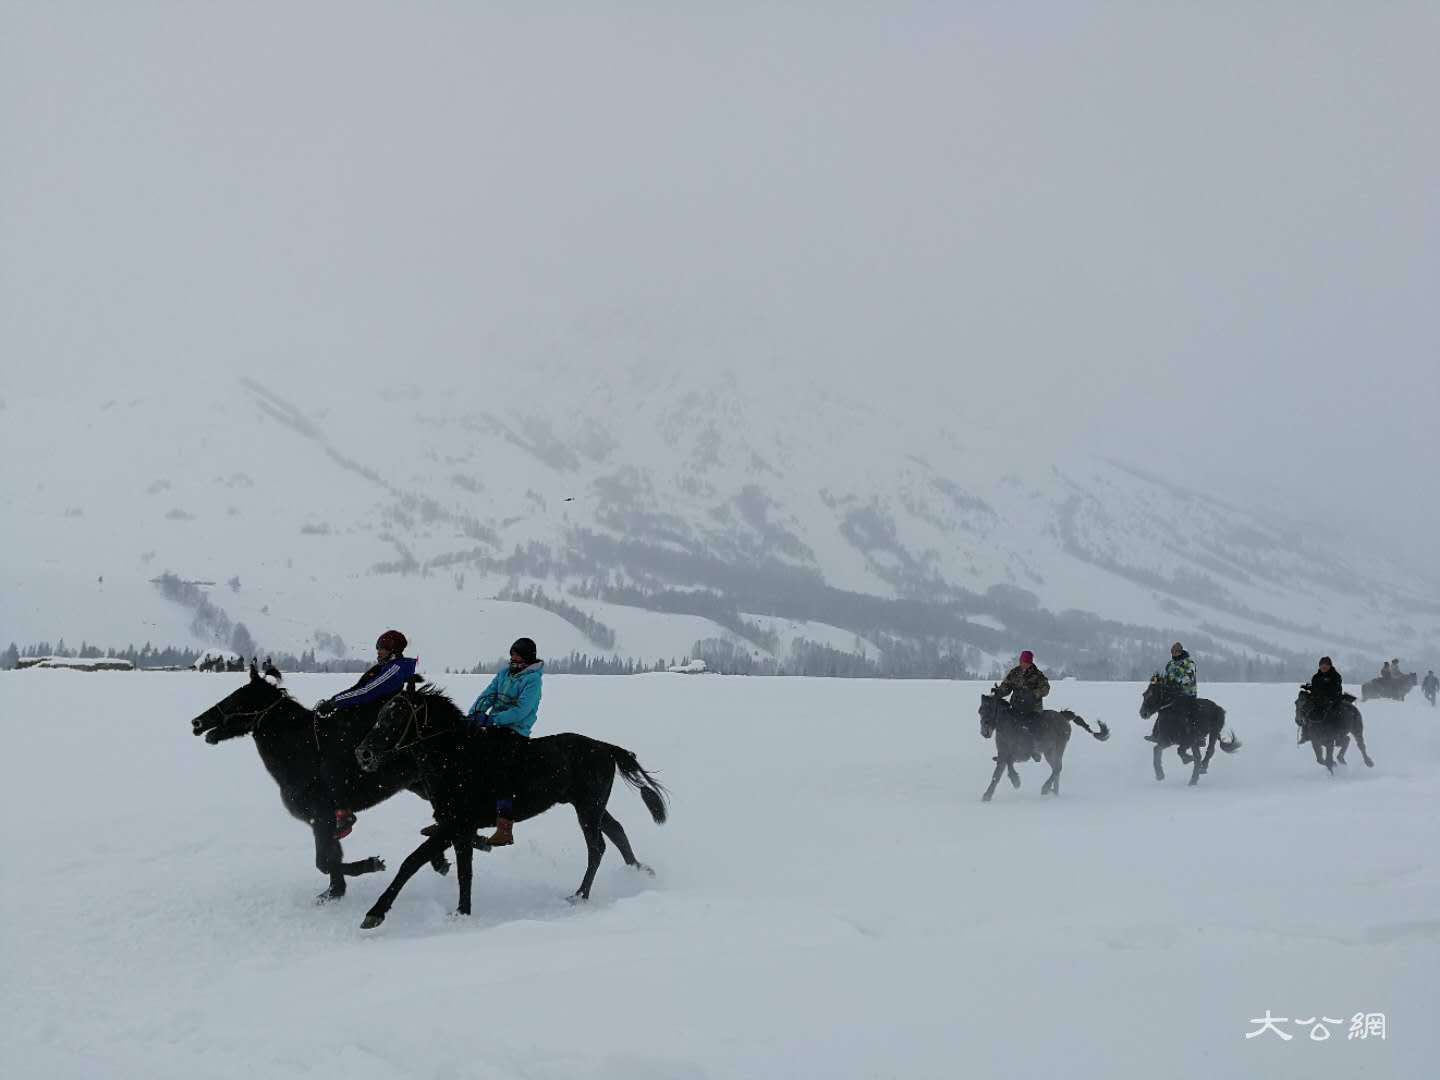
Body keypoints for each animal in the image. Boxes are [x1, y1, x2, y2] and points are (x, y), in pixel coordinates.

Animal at [189, 661, 447, 901]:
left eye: (237, 700)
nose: (197, 723)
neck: (302, 749)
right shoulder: (322, 820)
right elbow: (331, 857)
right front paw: (334, 892)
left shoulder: (322, 816)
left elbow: (324, 861)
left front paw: (369, 865)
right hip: (421, 786)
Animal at [353, 685, 669, 929]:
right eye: (381, 714)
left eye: (397, 714)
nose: (362, 753)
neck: (454, 757)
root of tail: (605, 747)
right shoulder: (458, 828)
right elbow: (463, 870)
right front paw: (462, 911)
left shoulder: (456, 823)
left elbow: (412, 861)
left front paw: (375, 913)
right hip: (591, 806)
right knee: (616, 831)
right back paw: (638, 871)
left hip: (588, 809)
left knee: (597, 847)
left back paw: (580, 895)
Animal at [976, 688, 1109, 801]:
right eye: (980, 711)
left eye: (992, 710)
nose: (984, 732)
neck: (1009, 726)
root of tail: (1063, 716)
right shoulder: (1003, 753)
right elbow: (997, 774)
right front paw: (987, 795)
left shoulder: (1022, 754)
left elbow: (1009, 762)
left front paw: (1016, 781)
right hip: (1049, 752)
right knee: (1056, 770)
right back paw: (1054, 791)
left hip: (1058, 749)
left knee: (1058, 768)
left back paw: (1046, 788)